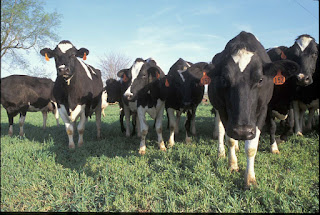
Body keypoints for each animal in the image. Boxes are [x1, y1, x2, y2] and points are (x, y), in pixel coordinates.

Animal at [208, 31, 300, 187]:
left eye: (260, 80)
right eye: (224, 80)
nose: (242, 131)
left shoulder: (263, 110)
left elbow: (251, 147)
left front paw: (250, 179)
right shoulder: (224, 111)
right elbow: (229, 139)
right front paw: (233, 165)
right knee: (221, 130)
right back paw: (221, 152)